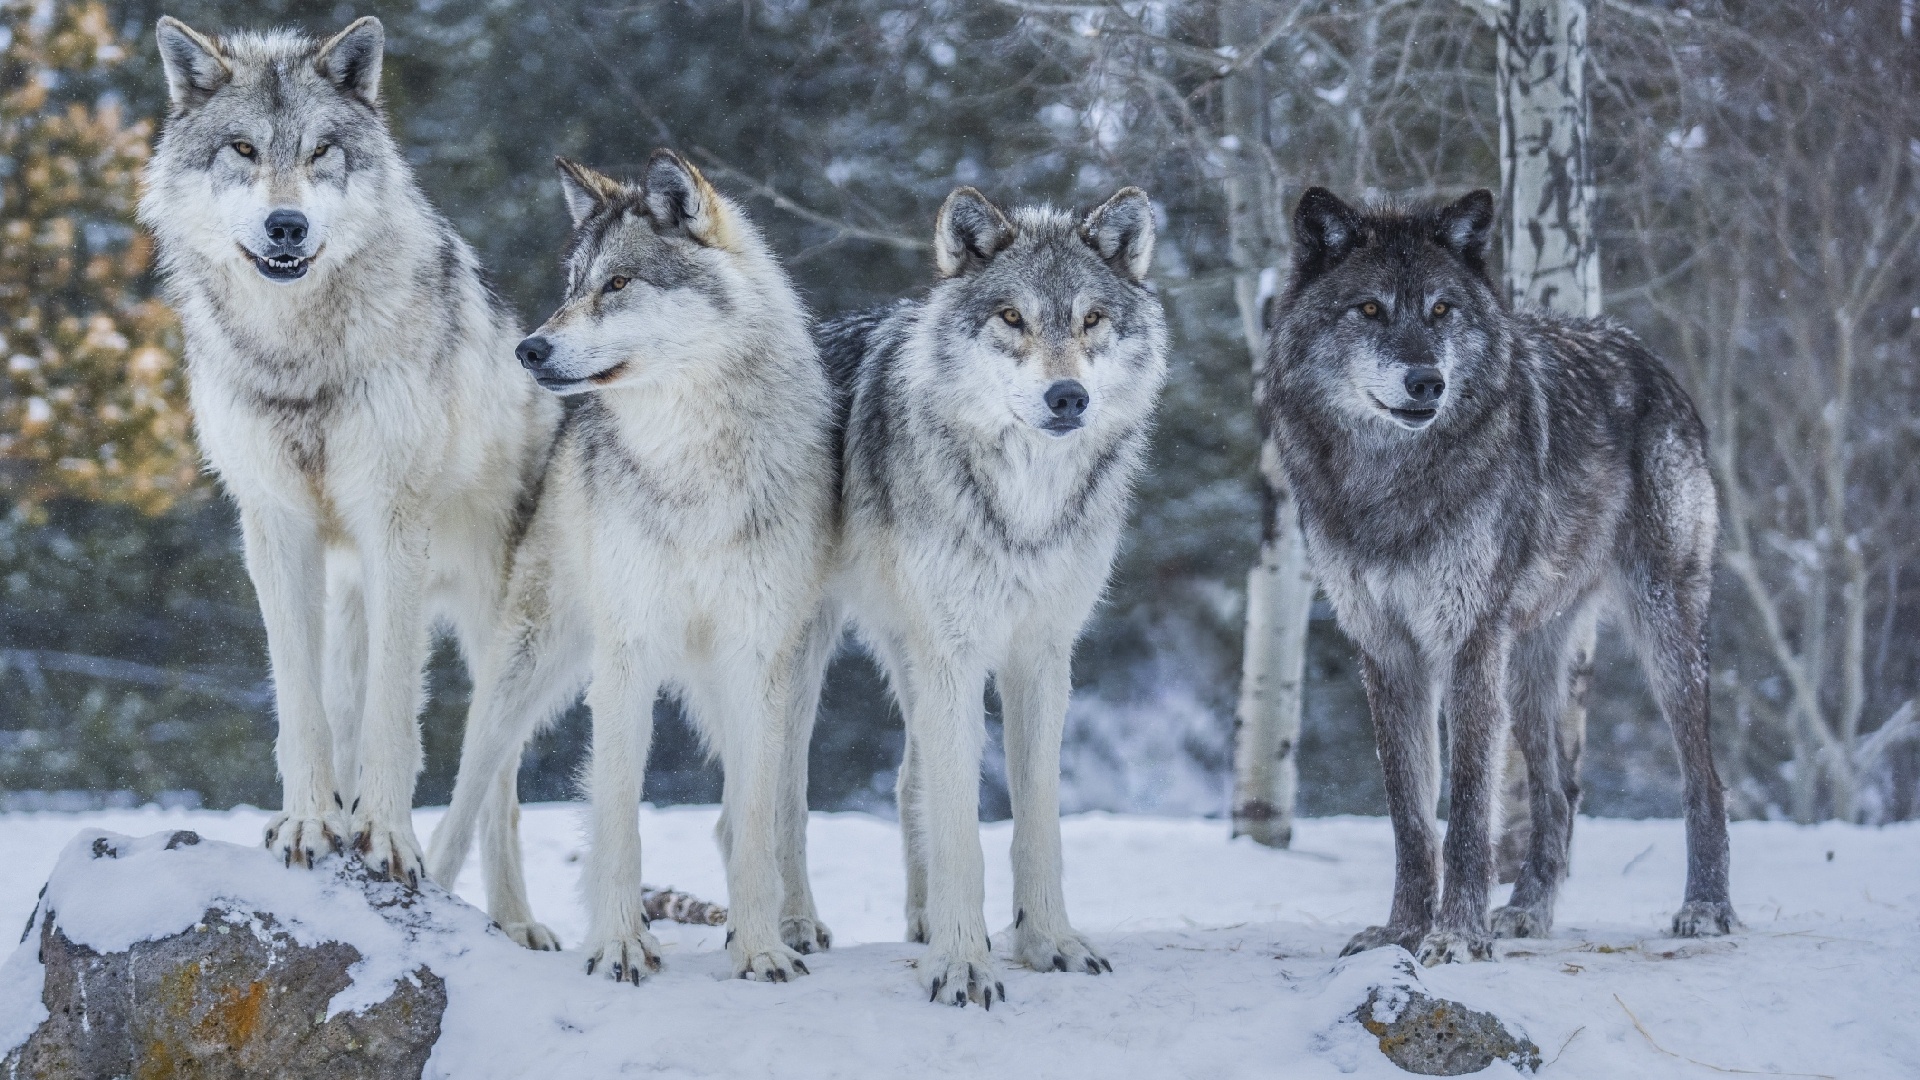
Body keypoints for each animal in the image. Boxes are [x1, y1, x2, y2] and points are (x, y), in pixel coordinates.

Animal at [140, 17, 561, 886]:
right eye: (242, 148)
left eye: (322, 151)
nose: (287, 226)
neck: (296, 357)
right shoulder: (276, 527)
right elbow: (300, 706)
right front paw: (309, 823)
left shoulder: (392, 523)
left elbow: (394, 716)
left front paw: (387, 837)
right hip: (347, 595)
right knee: (346, 707)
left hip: (498, 632)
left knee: (497, 793)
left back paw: (510, 914)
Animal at [422, 151, 838, 982]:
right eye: (574, 283)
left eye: (618, 283)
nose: (529, 349)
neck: (695, 470)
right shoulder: (628, 655)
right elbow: (617, 815)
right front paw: (617, 946)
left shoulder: (755, 657)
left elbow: (755, 822)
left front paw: (762, 950)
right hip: (527, 668)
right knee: (469, 795)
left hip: (776, 686)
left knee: (760, 815)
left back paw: (793, 922)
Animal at [817, 186, 1166, 1006]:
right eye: (1011, 317)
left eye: (1091, 319)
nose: (1067, 397)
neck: (1025, 505)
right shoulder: (955, 654)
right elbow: (963, 831)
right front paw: (961, 963)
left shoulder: (1041, 656)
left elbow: (1038, 820)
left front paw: (1050, 944)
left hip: (901, 652)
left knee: (906, 778)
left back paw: (916, 922)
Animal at [1264, 187, 1737, 965]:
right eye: (1369, 309)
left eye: (1441, 310)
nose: (1427, 380)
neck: (1389, 483)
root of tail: (1647, 356)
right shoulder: (1386, 650)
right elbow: (1409, 815)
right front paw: (1402, 930)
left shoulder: (1468, 640)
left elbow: (1466, 806)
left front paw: (1457, 934)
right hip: (1528, 665)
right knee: (1559, 791)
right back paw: (1526, 911)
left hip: (1663, 632)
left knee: (1705, 780)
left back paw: (1706, 907)